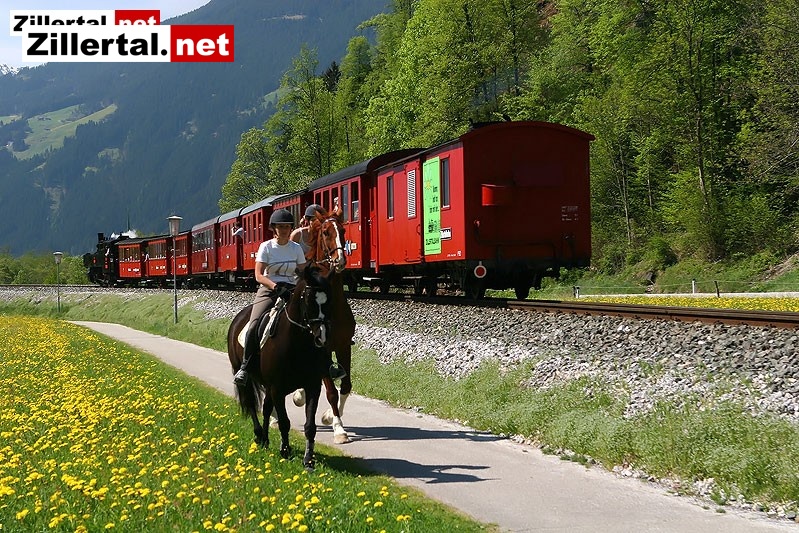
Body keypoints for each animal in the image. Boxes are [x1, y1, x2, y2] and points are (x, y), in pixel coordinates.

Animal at [227, 265, 331, 471]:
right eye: (309, 299)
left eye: (328, 299)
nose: (321, 337)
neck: (296, 343)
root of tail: (238, 318)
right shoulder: (277, 388)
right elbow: (284, 421)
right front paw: (285, 451)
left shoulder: (312, 386)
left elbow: (310, 426)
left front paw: (308, 460)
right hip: (245, 375)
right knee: (251, 403)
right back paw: (259, 435)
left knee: (266, 408)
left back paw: (266, 439)